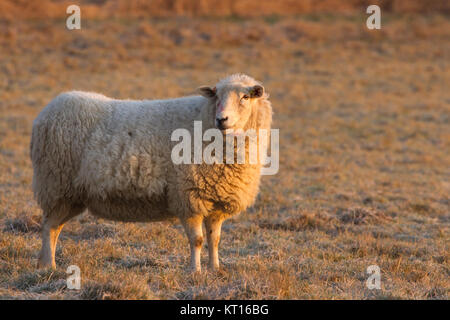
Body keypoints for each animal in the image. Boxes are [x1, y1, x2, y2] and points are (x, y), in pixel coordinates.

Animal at [31, 73, 272, 272]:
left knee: (55, 227)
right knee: (49, 227)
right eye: (217, 96)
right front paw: (195, 271)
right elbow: (197, 240)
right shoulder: (188, 195)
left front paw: (215, 269)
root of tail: (47, 110)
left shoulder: (215, 201)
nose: (222, 119)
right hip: (56, 184)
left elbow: (215, 239)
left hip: (69, 194)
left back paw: (45, 263)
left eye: (245, 97)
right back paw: (48, 265)